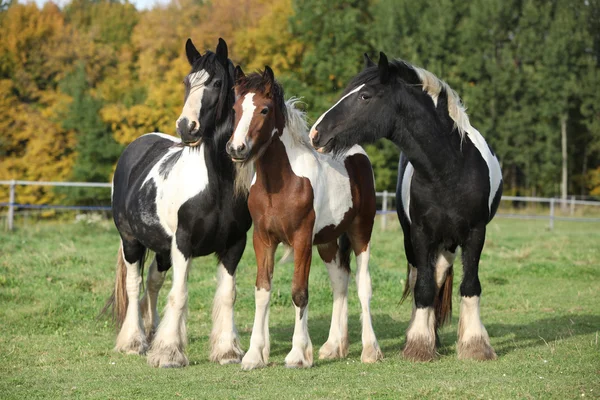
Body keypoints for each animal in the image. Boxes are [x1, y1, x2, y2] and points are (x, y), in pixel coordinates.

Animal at [106, 39, 252, 368]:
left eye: (217, 83)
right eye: (187, 82)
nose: (187, 127)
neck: (218, 186)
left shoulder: (235, 244)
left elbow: (228, 295)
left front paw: (226, 350)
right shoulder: (183, 244)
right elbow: (180, 294)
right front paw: (169, 353)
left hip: (161, 248)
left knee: (152, 282)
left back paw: (152, 333)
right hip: (131, 241)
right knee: (134, 285)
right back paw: (133, 341)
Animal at [225, 66, 384, 368]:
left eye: (264, 110)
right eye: (235, 108)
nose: (236, 149)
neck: (281, 183)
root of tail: (357, 153)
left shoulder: (301, 239)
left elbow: (299, 292)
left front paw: (298, 354)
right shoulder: (263, 239)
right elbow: (262, 291)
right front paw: (254, 355)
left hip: (362, 232)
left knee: (363, 285)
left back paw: (371, 350)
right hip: (328, 241)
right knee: (340, 282)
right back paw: (334, 346)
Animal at [310, 53, 502, 362]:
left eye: (365, 96)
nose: (316, 133)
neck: (450, 170)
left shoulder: (475, 233)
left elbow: (470, 285)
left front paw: (475, 345)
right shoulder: (420, 234)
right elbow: (422, 287)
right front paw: (420, 344)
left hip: (449, 242)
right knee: (423, 279)